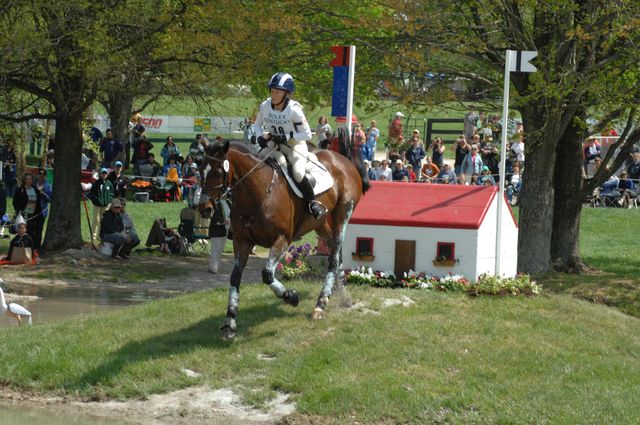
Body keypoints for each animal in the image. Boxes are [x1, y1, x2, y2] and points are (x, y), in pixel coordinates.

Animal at [200, 139, 370, 338]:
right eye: (200, 170)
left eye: (217, 172)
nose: (204, 208)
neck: (258, 191)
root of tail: (344, 160)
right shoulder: (241, 242)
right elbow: (235, 278)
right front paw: (230, 322)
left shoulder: (281, 240)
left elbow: (267, 274)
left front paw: (291, 297)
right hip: (320, 224)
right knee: (336, 252)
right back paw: (342, 295)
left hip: (342, 214)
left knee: (334, 258)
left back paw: (321, 304)